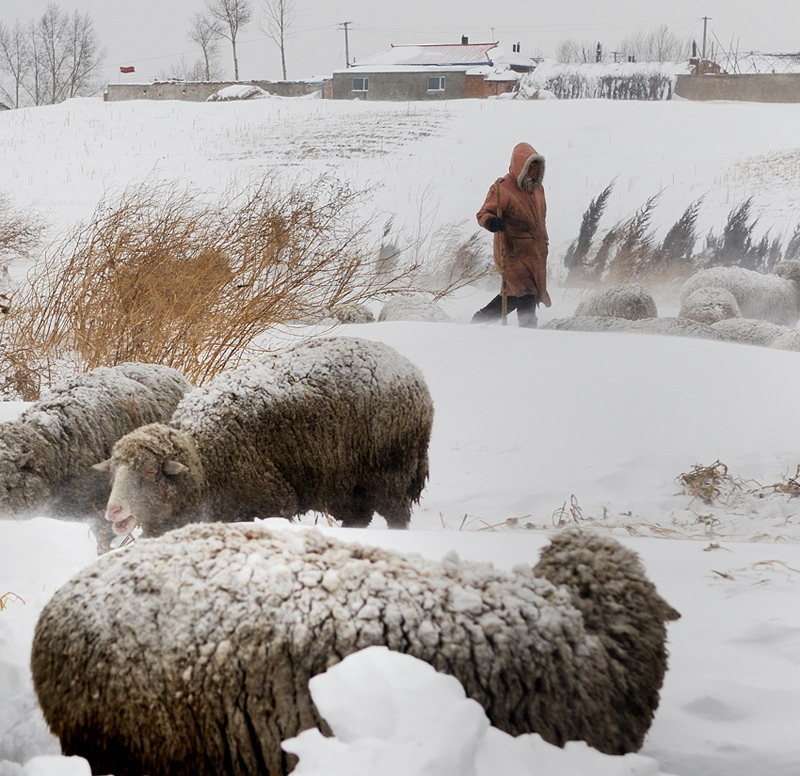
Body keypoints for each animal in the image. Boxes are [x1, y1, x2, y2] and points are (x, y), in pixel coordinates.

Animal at [94, 336, 434, 544]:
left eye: (150, 472)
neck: (205, 459)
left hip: (391, 470)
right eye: (115, 472)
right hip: (348, 482)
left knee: (397, 515)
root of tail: (412, 371)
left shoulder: (270, 503)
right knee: (358, 516)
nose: (114, 511)